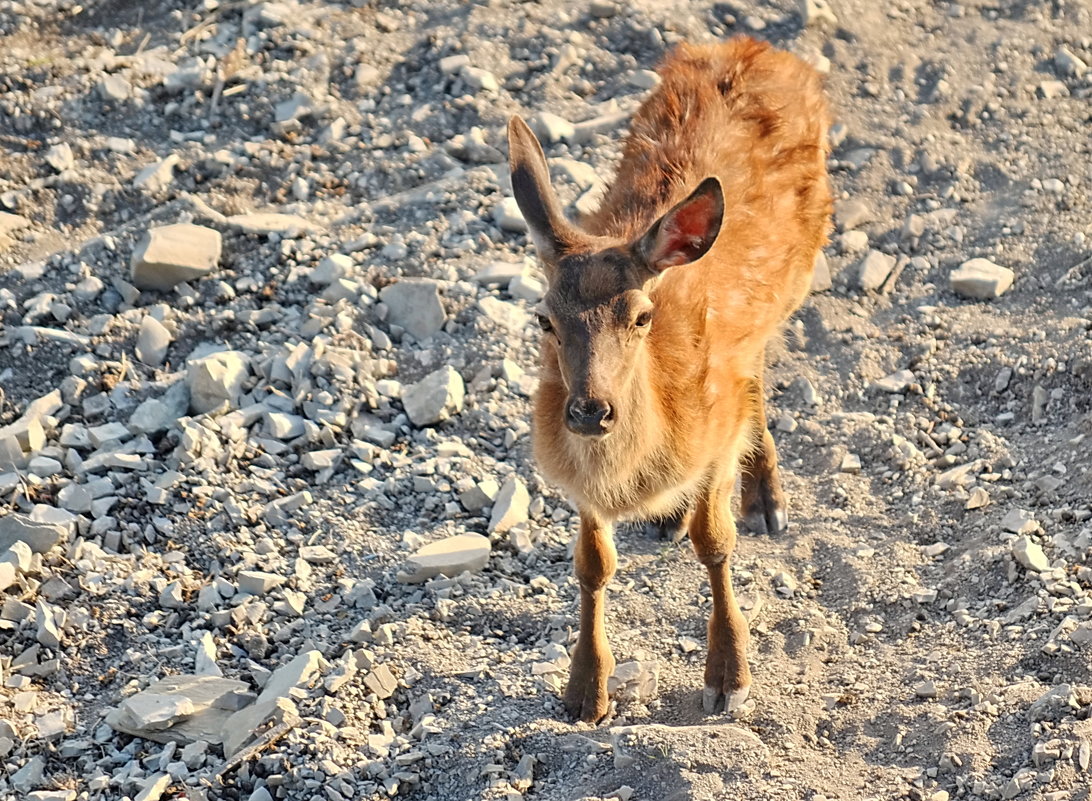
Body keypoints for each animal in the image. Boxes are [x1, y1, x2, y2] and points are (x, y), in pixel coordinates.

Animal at [506, 37, 829, 724]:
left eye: (641, 315)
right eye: (545, 318)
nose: (590, 411)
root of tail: (760, 47)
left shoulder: (714, 438)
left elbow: (716, 542)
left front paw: (729, 677)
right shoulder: (579, 487)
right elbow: (592, 565)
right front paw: (585, 691)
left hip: (791, 287)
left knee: (760, 370)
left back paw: (766, 499)